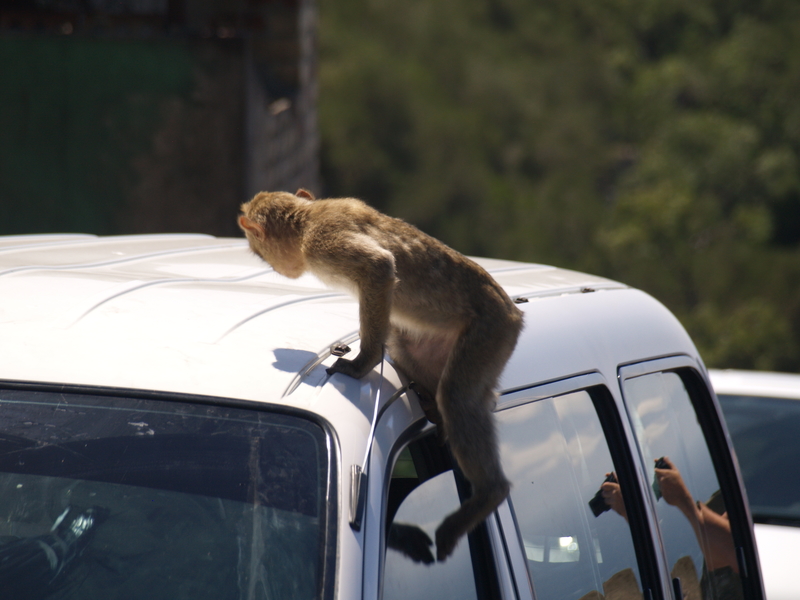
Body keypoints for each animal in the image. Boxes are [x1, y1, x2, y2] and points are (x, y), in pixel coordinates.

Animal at [238, 189, 524, 564]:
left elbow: (378, 267)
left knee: (457, 396)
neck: (308, 219)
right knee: (409, 351)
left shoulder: (323, 242)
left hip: (491, 332)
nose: (274, 267)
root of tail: (514, 312)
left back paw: (489, 492)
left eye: (260, 251)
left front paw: (363, 362)